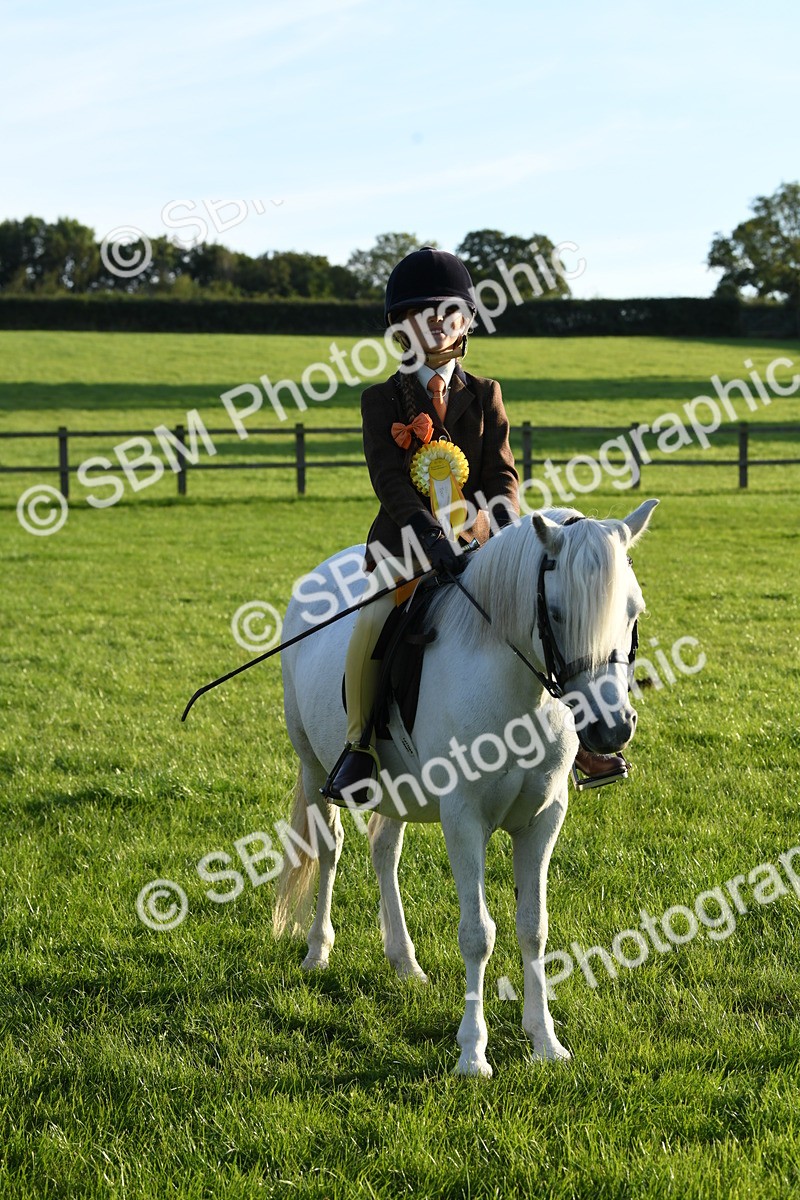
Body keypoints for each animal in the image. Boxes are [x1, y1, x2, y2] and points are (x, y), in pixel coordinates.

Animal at [273, 500, 658, 1077]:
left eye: (633, 610)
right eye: (556, 613)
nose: (610, 729)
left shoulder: (544, 817)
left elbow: (533, 927)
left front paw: (544, 1041)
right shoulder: (464, 818)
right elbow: (478, 933)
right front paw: (473, 1053)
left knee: (384, 851)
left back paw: (404, 962)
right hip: (313, 766)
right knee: (329, 848)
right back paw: (318, 951)